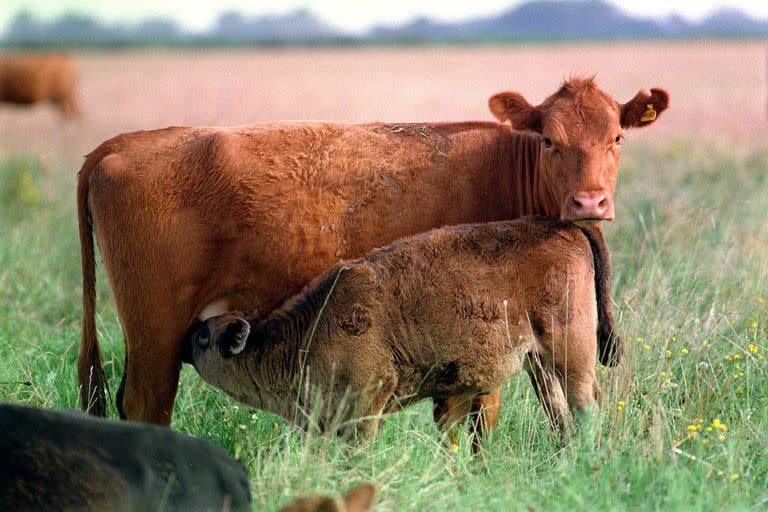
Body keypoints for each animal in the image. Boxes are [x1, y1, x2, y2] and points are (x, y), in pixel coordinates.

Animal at [183, 218, 616, 446]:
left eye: (204, 337)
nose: (185, 341)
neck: (311, 329)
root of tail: (564, 228)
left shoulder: (364, 409)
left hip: (571, 356)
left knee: (587, 403)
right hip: (538, 363)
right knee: (560, 415)